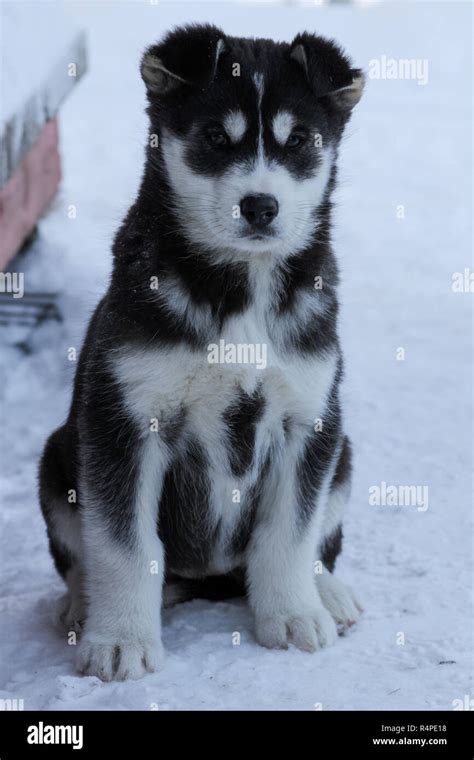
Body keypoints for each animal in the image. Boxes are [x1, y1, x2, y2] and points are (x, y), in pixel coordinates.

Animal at [39, 23, 362, 680]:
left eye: (299, 141)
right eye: (216, 137)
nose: (260, 205)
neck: (241, 291)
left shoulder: (309, 416)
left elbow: (290, 532)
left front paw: (292, 615)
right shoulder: (125, 419)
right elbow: (123, 545)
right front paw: (120, 642)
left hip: (343, 451)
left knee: (318, 537)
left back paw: (327, 592)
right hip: (58, 455)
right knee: (83, 558)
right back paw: (81, 605)